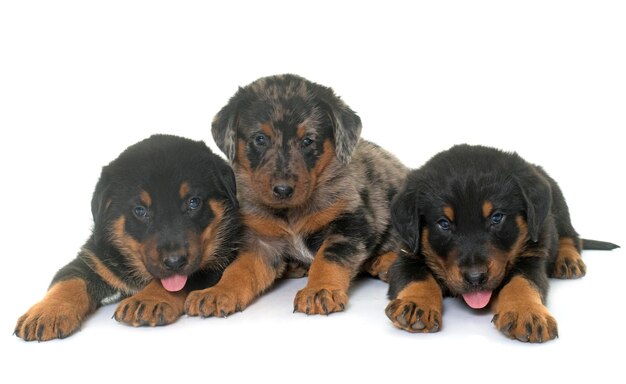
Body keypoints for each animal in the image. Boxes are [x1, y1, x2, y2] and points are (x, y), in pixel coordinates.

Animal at [15, 135, 239, 342]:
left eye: (193, 202)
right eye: (140, 210)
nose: (175, 262)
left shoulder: (215, 261)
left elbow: (183, 279)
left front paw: (148, 299)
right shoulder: (92, 259)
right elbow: (68, 281)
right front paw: (46, 313)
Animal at [184, 73, 410, 316]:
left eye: (307, 141)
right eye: (260, 139)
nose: (283, 190)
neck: (290, 213)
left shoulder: (350, 223)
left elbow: (328, 258)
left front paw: (319, 290)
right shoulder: (260, 241)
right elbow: (238, 270)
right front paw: (218, 292)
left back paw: (384, 263)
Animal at [388, 144, 616, 342]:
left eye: (497, 217)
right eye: (443, 223)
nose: (475, 277)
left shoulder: (533, 256)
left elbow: (523, 281)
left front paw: (527, 311)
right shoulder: (406, 252)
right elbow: (415, 275)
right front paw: (416, 303)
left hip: (558, 206)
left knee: (571, 236)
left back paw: (568, 259)